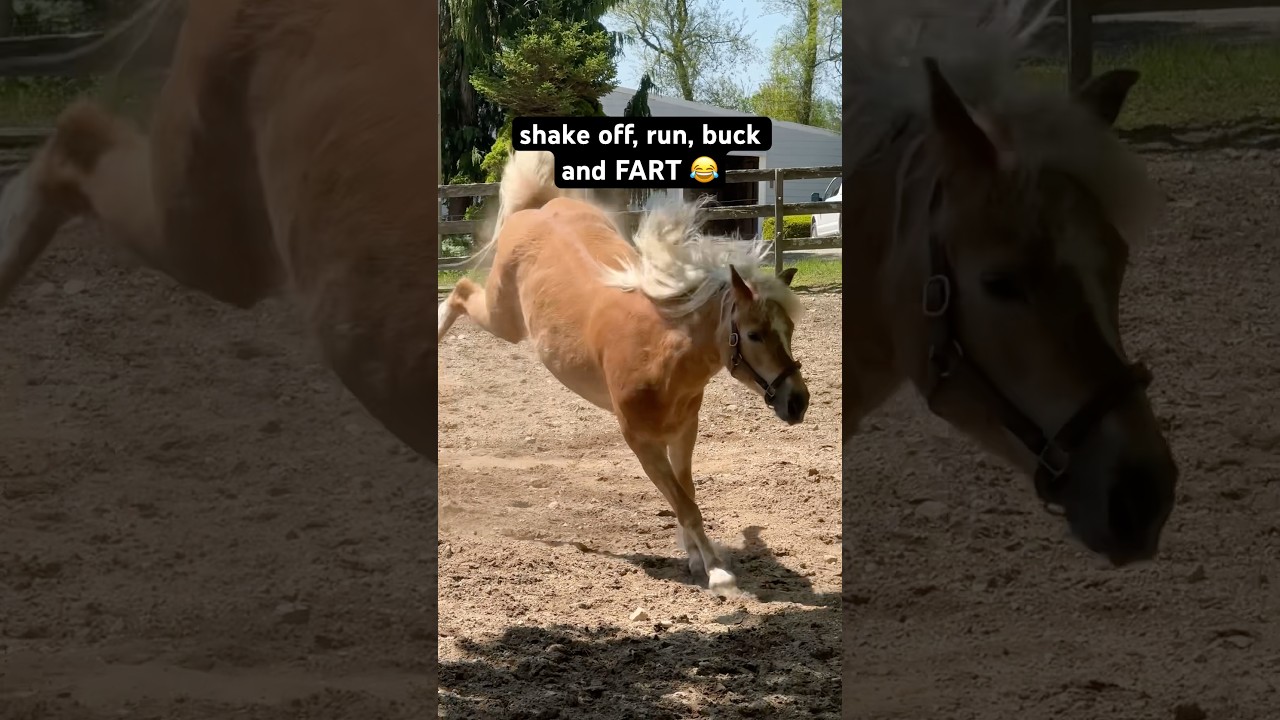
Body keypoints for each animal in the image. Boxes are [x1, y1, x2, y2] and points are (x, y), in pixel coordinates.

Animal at [437, 150, 811, 596]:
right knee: (460, 291)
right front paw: (718, 573)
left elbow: (686, 494)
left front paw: (696, 557)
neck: (660, 353)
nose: (798, 402)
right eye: (754, 334)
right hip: (504, 318)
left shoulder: (683, 431)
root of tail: (536, 209)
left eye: (789, 329)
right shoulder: (641, 443)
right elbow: (685, 503)